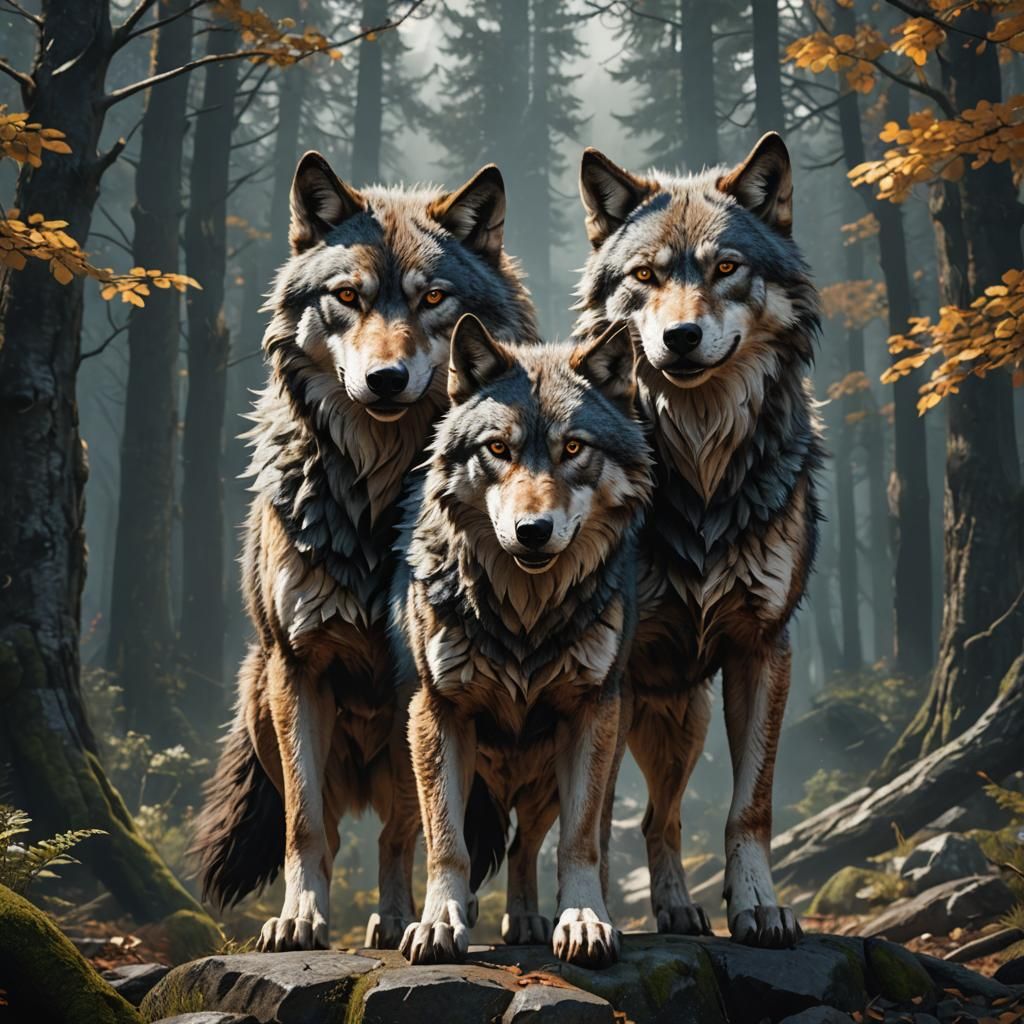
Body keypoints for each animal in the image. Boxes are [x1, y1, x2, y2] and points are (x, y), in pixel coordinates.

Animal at [191, 151, 538, 952]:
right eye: (348, 296)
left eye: (434, 298)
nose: (386, 379)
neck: (378, 501)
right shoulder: (299, 666)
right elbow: (306, 825)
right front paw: (299, 919)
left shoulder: (421, 684)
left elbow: (413, 828)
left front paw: (412, 918)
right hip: (258, 696)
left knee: (395, 832)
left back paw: (398, 919)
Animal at [391, 313, 653, 969]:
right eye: (498, 449)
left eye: (574, 448)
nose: (532, 531)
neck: (525, 618)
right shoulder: (437, 713)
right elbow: (447, 842)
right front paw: (439, 923)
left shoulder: (590, 715)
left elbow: (579, 842)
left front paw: (582, 921)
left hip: (556, 777)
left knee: (528, 844)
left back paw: (531, 919)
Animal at [573, 133, 823, 948]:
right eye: (646, 276)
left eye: (725, 268)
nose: (679, 338)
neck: (702, 465)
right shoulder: (607, 672)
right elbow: (589, 817)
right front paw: (585, 917)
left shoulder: (763, 648)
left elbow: (751, 808)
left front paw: (759, 908)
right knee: (636, 816)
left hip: (685, 719)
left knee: (663, 818)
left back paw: (680, 910)